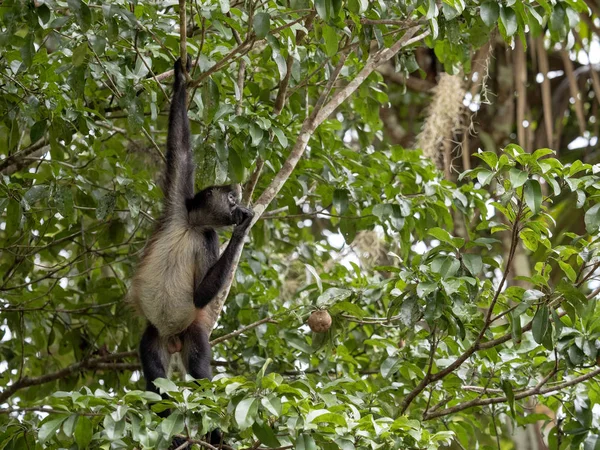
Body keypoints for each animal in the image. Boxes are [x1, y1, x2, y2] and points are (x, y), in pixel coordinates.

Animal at [129, 57, 253, 446]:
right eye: (230, 199)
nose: (238, 208)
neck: (191, 227)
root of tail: (172, 339)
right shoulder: (176, 206)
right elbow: (180, 150)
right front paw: (181, 78)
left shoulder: (208, 236)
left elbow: (200, 295)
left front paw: (244, 229)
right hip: (153, 336)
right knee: (155, 375)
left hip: (192, 332)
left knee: (198, 368)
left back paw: (212, 435)